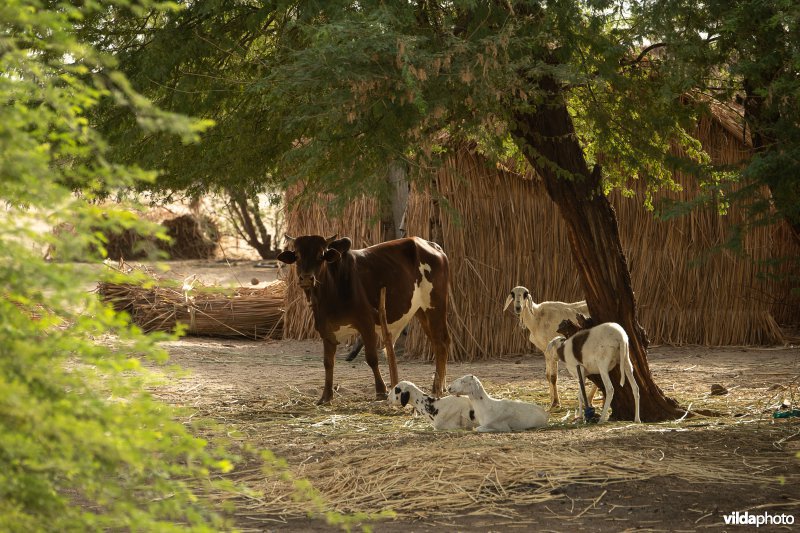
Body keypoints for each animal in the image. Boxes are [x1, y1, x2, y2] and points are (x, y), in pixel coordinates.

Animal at [276, 233, 450, 404]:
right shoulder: (326, 329)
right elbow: (328, 363)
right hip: (421, 310)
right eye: (297, 256)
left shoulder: (366, 323)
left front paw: (381, 391)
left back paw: (437, 389)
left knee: (441, 343)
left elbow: (371, 358)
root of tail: (432, 245)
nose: (306, 278)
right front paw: (326, 396)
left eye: (320, 255)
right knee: (437, 344)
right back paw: (441, 386)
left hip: (435, 306)